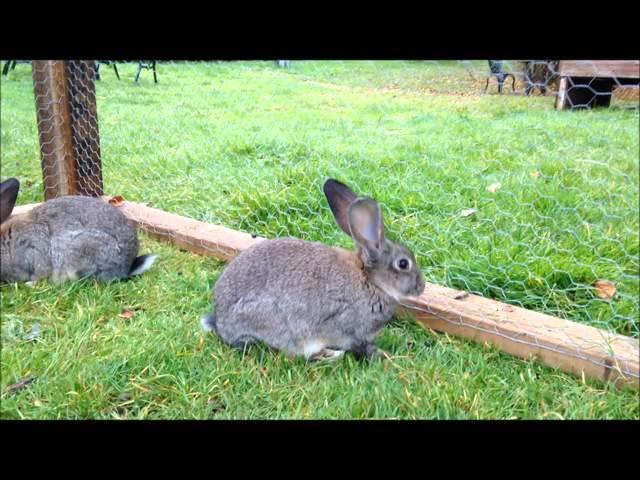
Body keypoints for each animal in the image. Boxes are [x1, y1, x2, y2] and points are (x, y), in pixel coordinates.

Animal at [202, 179, 424, 360]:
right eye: (403, 264)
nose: (421, 287)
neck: (371, 280)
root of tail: (221, 323)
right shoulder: (347, 325)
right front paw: (380, 356)